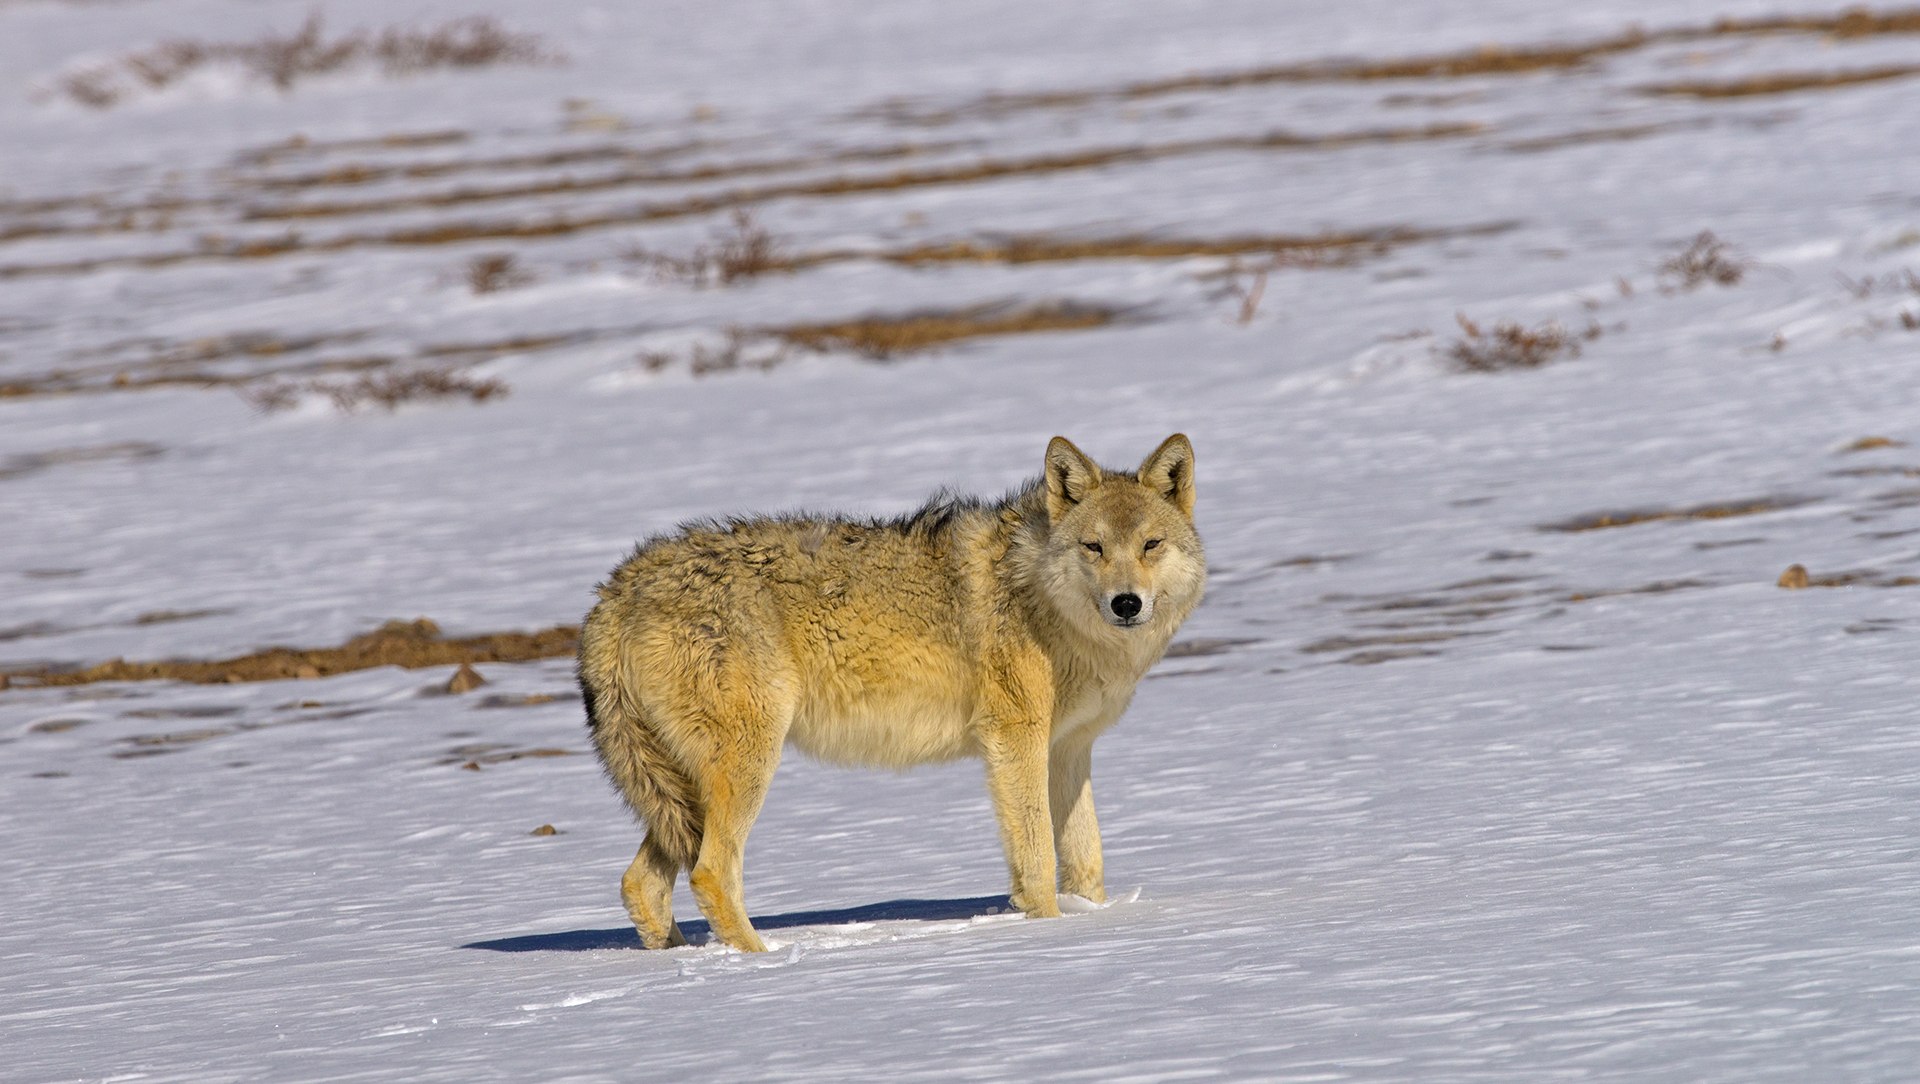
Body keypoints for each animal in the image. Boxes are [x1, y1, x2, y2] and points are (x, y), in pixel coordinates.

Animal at [577, 434, 1204, 951]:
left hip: (681, 793)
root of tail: (616, 590)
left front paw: (1092, 922)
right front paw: (1049, 933)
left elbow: (1087, 860)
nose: (1127, 603)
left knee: (639, 882)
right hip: (748, 763)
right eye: (1094, 547)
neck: (1041, 600)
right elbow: (1036, 857)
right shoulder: (1015, 740)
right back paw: (764, 962)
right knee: (710, 872)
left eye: (1150, 545)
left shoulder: (1068, 748)